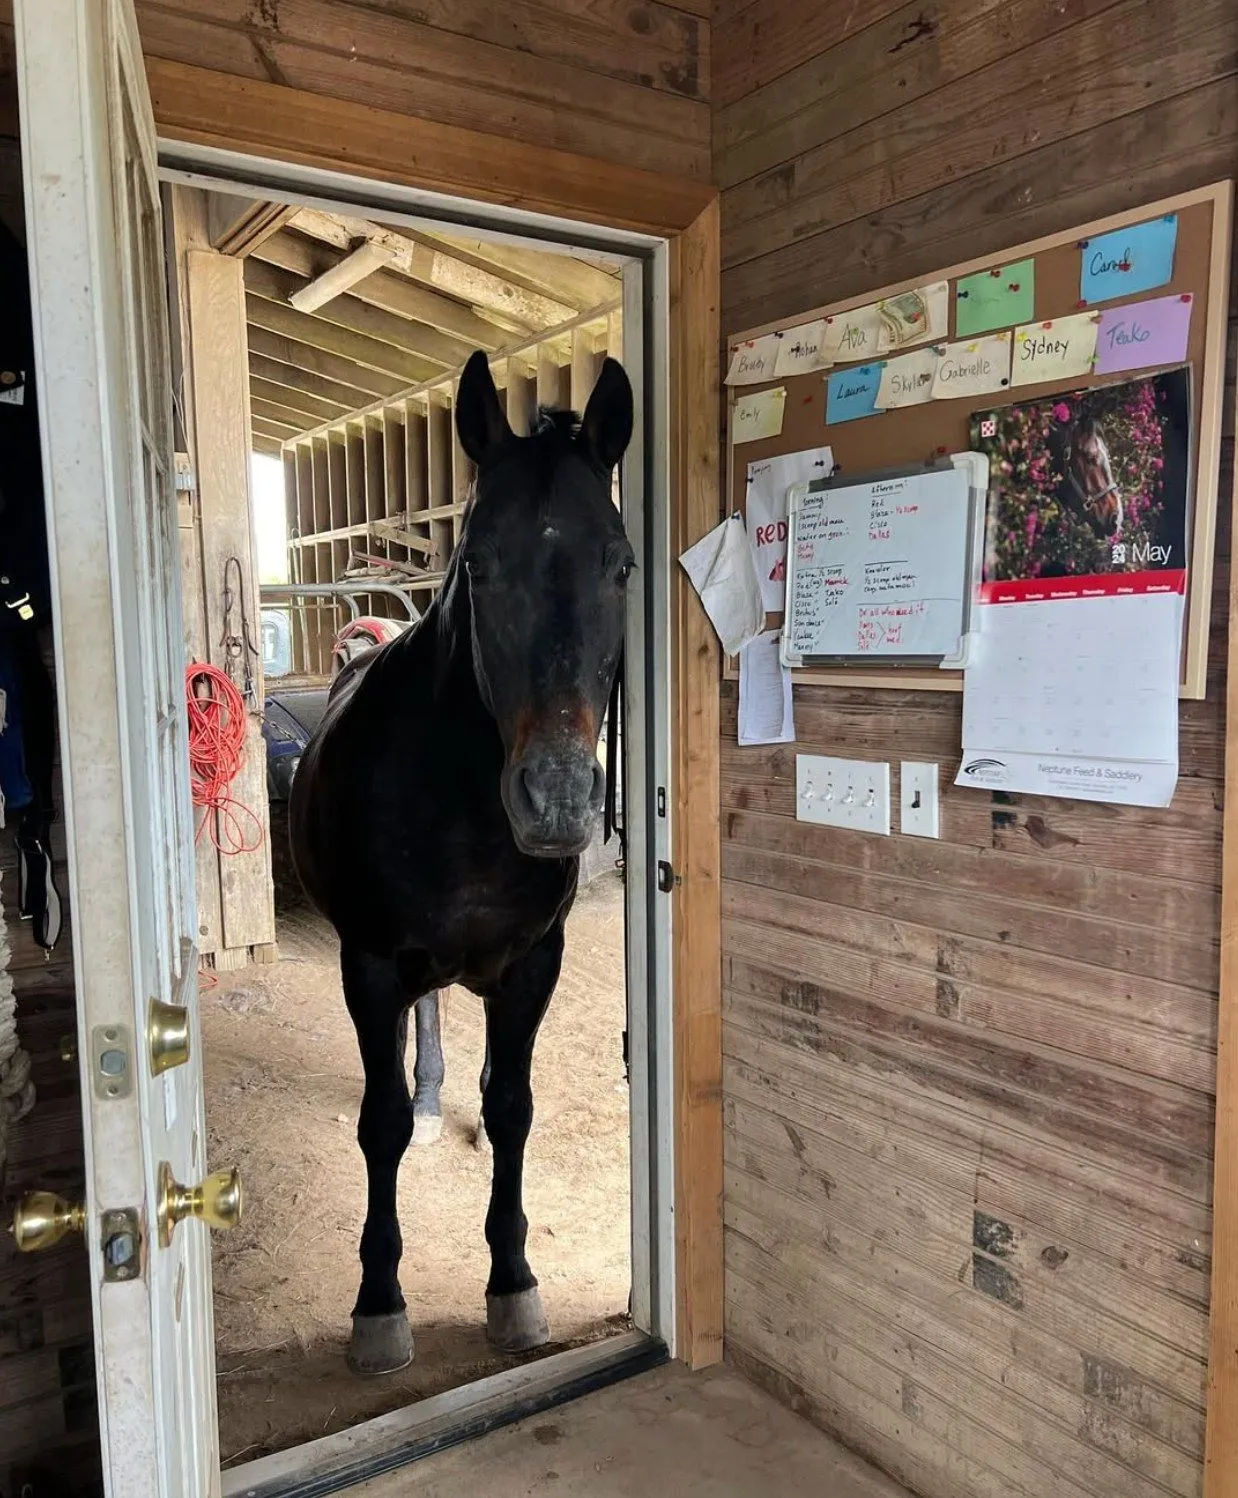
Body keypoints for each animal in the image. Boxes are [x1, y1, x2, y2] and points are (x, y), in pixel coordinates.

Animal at [288, 350, 634, 1376]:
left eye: (622, 563)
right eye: (478, 562)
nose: (556, 799)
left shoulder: (530, 968)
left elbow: (513, 1106)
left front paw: (513, 1285)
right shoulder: (368, 967)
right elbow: (381, 1124)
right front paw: (379, 1306)